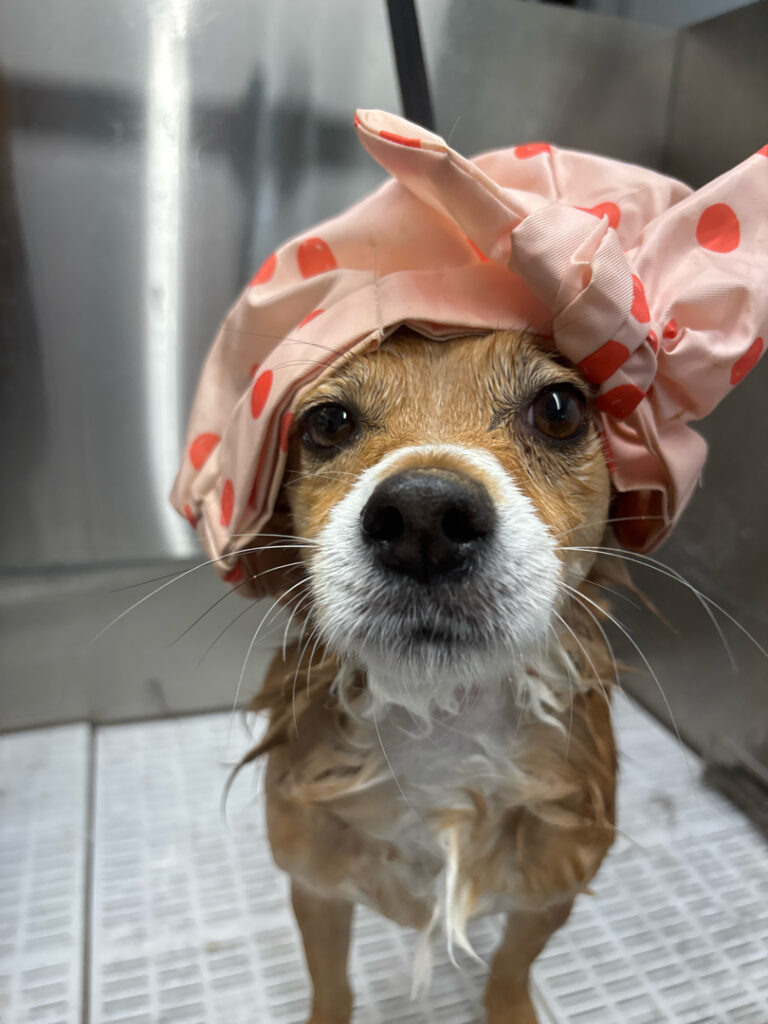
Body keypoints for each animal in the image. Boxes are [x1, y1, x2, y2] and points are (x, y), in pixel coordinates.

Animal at [235, 326, 618, 1024]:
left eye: (559, 410)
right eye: (327, 422)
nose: (423, 516)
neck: (442, 732)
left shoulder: (550, 896)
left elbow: (511, 967)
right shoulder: (314, 887)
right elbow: (330, 982)